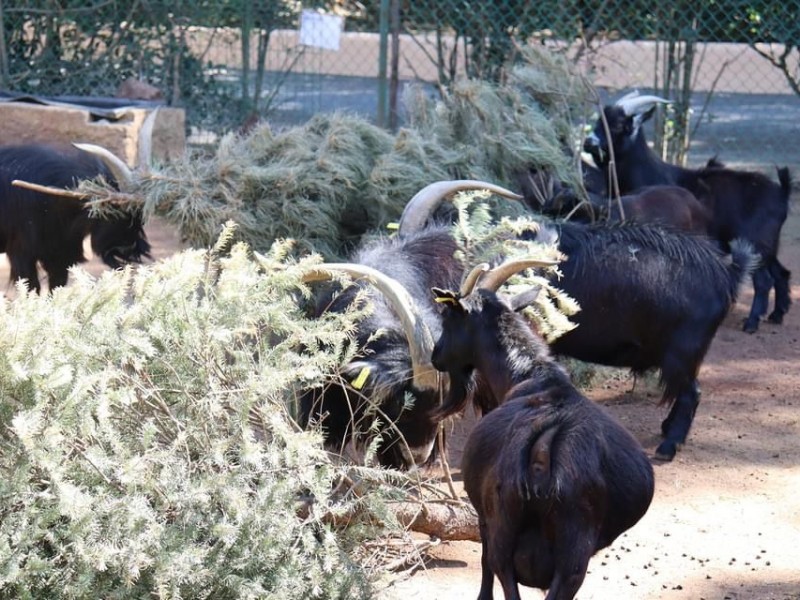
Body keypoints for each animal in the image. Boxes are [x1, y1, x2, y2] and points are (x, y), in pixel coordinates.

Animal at [428, 262, 652, 600]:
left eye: (448, 319)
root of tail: (543, 449)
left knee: (498, 568)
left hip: (506, 532)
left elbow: (483, 562)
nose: (435, 355)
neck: (533, 375)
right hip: (574, 558)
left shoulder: (483, 516)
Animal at [584, 92, 792, 332]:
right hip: (769, 246)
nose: (589, 142)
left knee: (764, 280)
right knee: (781, 273)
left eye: (618, 125)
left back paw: (751, 323)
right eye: (598, 121)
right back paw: (777, 314)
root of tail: (782, 193)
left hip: (756, 243)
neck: (650, 172)